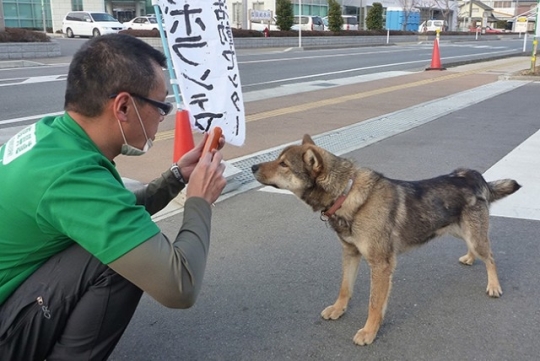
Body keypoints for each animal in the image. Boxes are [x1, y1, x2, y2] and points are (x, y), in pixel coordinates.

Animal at [251, 134, 520, 344]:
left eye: (283, 164)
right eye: (278, 159)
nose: (252, 167)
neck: (346, 194)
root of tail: (473, 175)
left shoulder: (381, 265)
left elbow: (374, 304)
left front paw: (369, 332)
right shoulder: (350, 254)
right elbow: (344, 287)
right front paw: (339, 309)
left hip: (474, 235)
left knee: (490, 257)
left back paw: (493, 285)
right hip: (457, 229)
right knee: (476, 249)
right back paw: (470, 258)